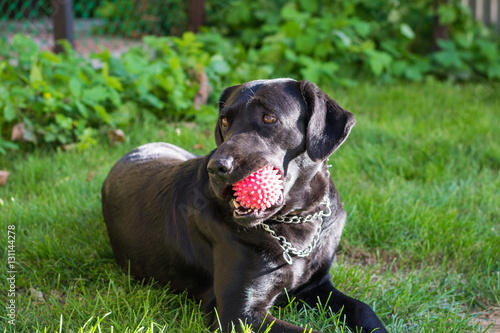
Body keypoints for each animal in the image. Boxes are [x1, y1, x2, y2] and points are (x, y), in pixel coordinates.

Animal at [101, 78, 386, 332]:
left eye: (268, 118)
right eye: (225, 120)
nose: (216, 167)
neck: (297, 218)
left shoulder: (316, 286)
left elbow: (363, 309)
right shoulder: (238, 313)